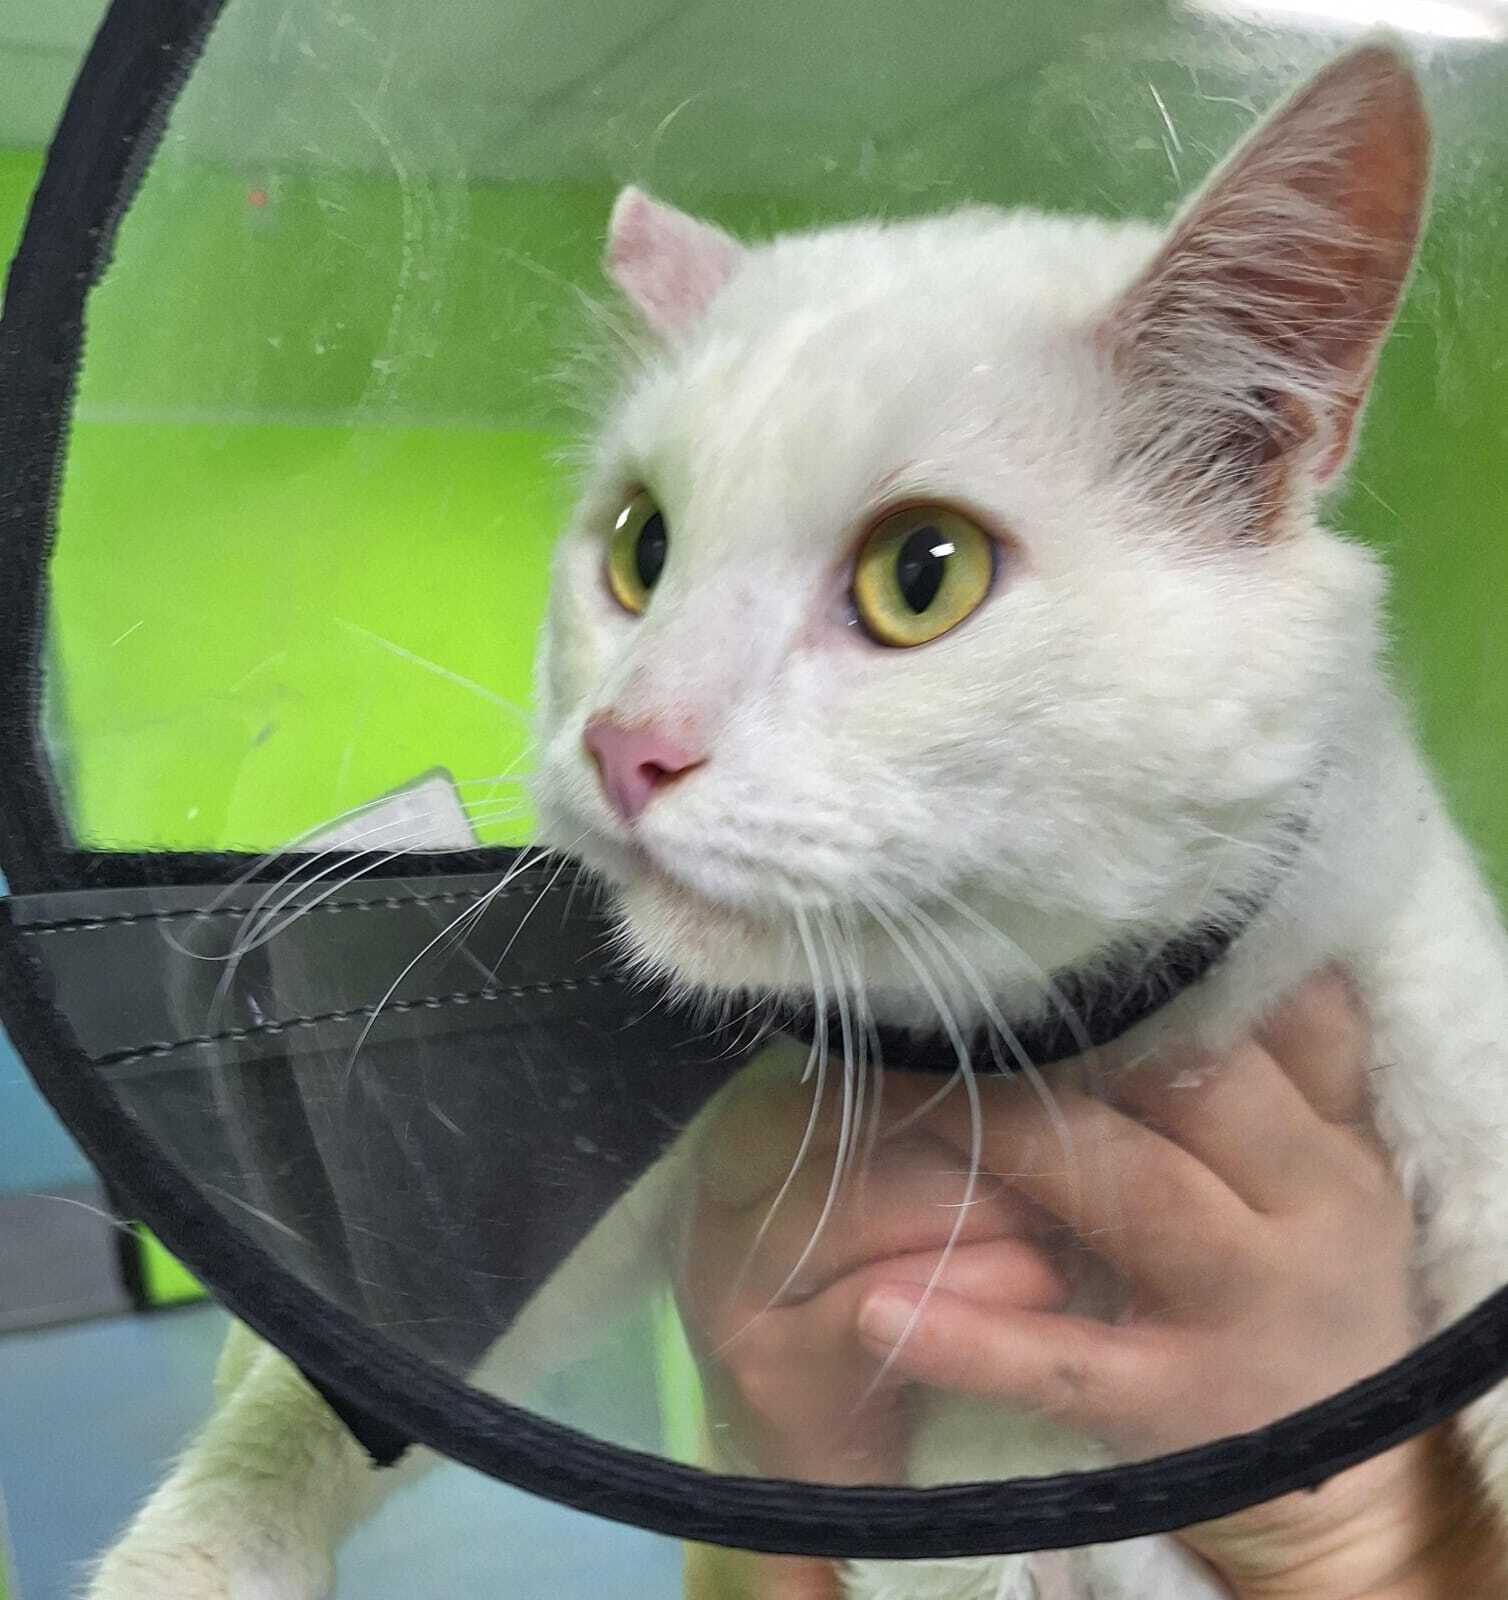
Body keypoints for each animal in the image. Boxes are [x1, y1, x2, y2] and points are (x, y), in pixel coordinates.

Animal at [87, 40, 1508, 1600]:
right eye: (640, 549)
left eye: (922, 574)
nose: (628, 744)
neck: (1013, 1049)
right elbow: (335, 1398)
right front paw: (189, 1555)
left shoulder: (1422, 974)